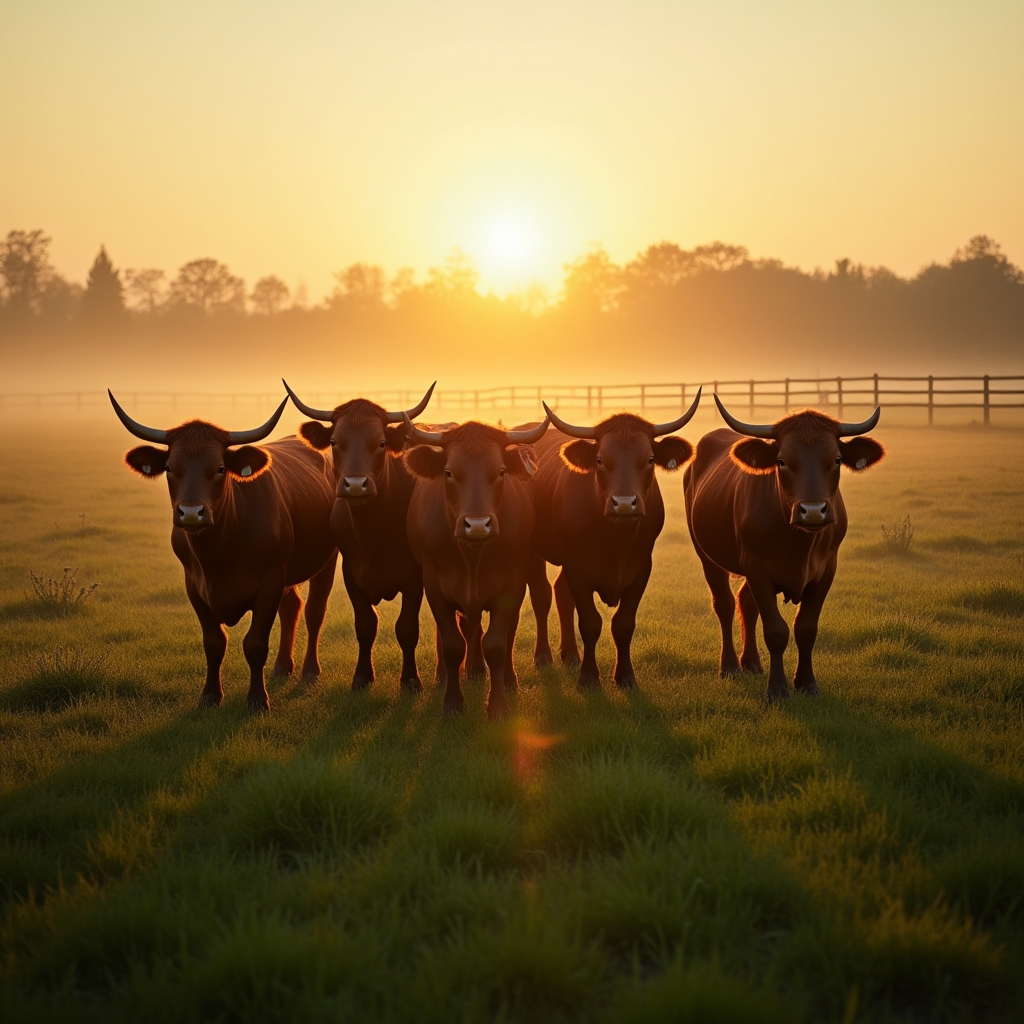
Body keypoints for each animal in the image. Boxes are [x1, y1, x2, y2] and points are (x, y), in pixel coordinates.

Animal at [108, 391, 339, 712]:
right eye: (169, 468)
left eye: (219, 468)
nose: (191, 513)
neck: (219, 552)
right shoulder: (195, 586)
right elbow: (214, 642)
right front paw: (210, 695)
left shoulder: (269, 583)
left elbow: (255, 644)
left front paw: (257, 699)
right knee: (292, 606)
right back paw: (282, 667)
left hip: (326, 560)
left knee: (315, 610)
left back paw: (309, 671)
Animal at [282, 381, 436, 692]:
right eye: (334, 442)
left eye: (381, 443)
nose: (355, 485)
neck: (374, 533)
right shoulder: (352, 573)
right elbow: (365, 625)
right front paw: (362, 676)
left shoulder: (415, 578)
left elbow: (407, 628)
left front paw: (411, 680)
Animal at [403, 416, 550, 719]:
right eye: (448, 472)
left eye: (501, 471)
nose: (478, 525)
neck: (472, 557)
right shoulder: (434, 587)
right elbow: (452, 644)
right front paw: (451, 703)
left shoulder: (510, 586)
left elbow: (496, 644)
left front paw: (498, 706)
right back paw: (459, 673)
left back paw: (504, 678)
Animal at [530, 391, 702, 689]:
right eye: (600, 460)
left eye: (649, 459)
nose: (624, 503)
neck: (616, 542)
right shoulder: (577, 568)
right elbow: (590, 622)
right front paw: (589, 678)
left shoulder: (642, 568)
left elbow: (623, 624)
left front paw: (626, 676)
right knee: (542, 595)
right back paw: (544, 656)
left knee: (560, 592)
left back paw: (570, 655)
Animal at [685, 396, 885, 700]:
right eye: (781, 461)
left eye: (837, 460)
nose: (812, 511)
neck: (799, 544)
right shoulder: (757, 567)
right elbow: (776, 631)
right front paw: (777, 689)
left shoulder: (826, 569)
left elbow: (806, 628)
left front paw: (807, 683)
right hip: (707, 556)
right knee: (725, 604)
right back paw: (730, 666)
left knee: (745, 602)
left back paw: (751, 662)